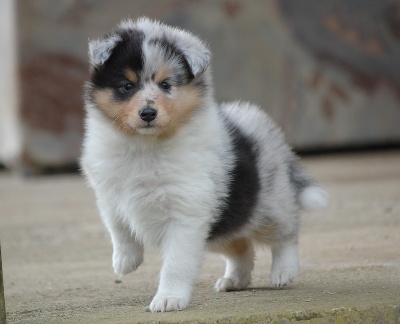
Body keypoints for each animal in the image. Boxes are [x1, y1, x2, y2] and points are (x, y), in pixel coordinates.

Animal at [81, 17, 328, 312]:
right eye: (127, 86)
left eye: (166, 84)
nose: (148, 113)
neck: (144, 147)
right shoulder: (109, 193)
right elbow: (118, 227)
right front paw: (125, 261)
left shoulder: (186, 215)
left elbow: (175, 264)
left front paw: (168, 299)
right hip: (221, 224)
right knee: (242, 247)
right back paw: (234, 280)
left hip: (269, 205)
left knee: (286, 235)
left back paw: (283, 272)